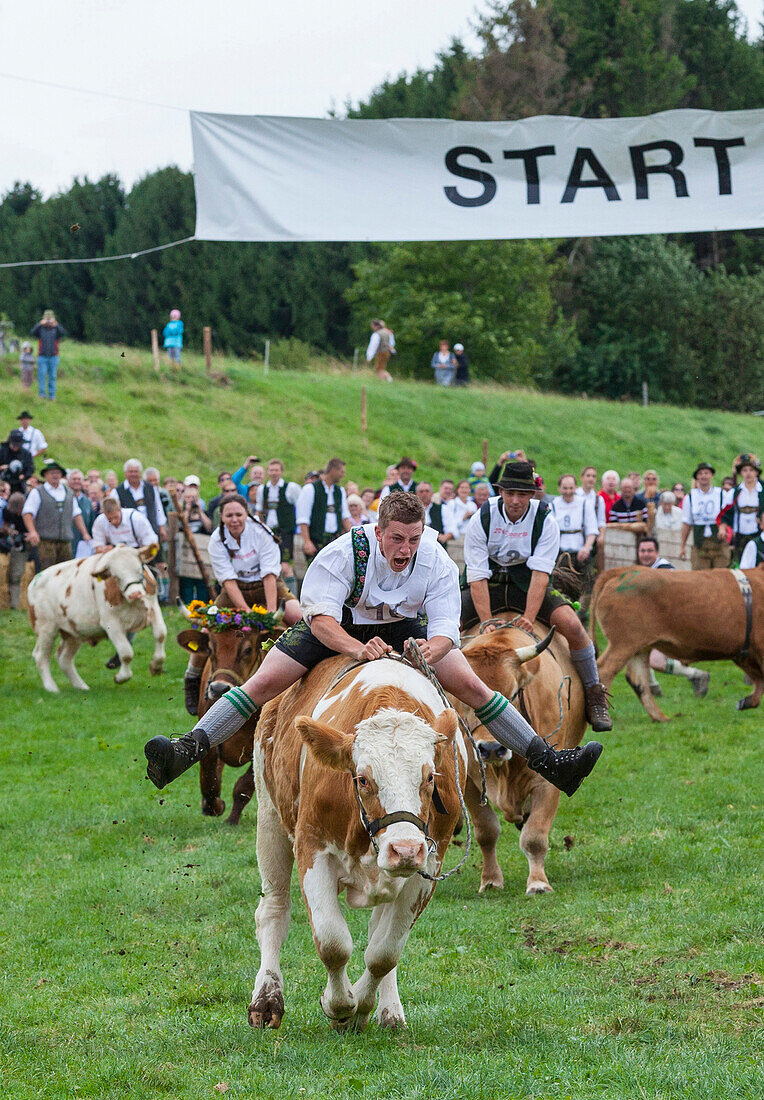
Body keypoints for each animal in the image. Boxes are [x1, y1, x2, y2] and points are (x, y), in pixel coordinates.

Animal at [26, 545, 165, 690]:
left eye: (139, 569)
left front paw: (156, 666)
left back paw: (82, 687)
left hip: (73, 632)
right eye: (116, 577)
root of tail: (34, 580)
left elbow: (161, 634)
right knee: (41, 656)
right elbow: (126, 653)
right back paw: (52, 688)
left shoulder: (154, 609)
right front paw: (121, 677)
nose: (135, 594)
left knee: (64, 658)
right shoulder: (111, 623)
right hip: (46, 628)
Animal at [250, 655, 466, 1034]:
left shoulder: (427, 866)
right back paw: (266, 999)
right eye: (363, 779)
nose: (404, 849)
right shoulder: (312, 849)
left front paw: (361, 1007)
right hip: (269, 819)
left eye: (429, 776)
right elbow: (333, 942)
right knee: (273, 911)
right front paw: (337, 1004)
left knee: (378, 933)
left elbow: (384, 952)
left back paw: (389, 1010)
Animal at [455, 620, 584, 893]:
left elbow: (535, 835)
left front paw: (538, 883)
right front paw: (490, 880)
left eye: (513, 694)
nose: (491, 748)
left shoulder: (547, 783)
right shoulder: (470, 783)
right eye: (464, 699)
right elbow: (486, 831)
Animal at [593, 567, 764, 721]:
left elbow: (759, 680)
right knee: (605, 670)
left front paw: (746, 702)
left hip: (639, 648)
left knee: (637, 679)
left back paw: (660, 717)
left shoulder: (744, 651)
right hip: (624, 643)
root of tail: (622, 570)